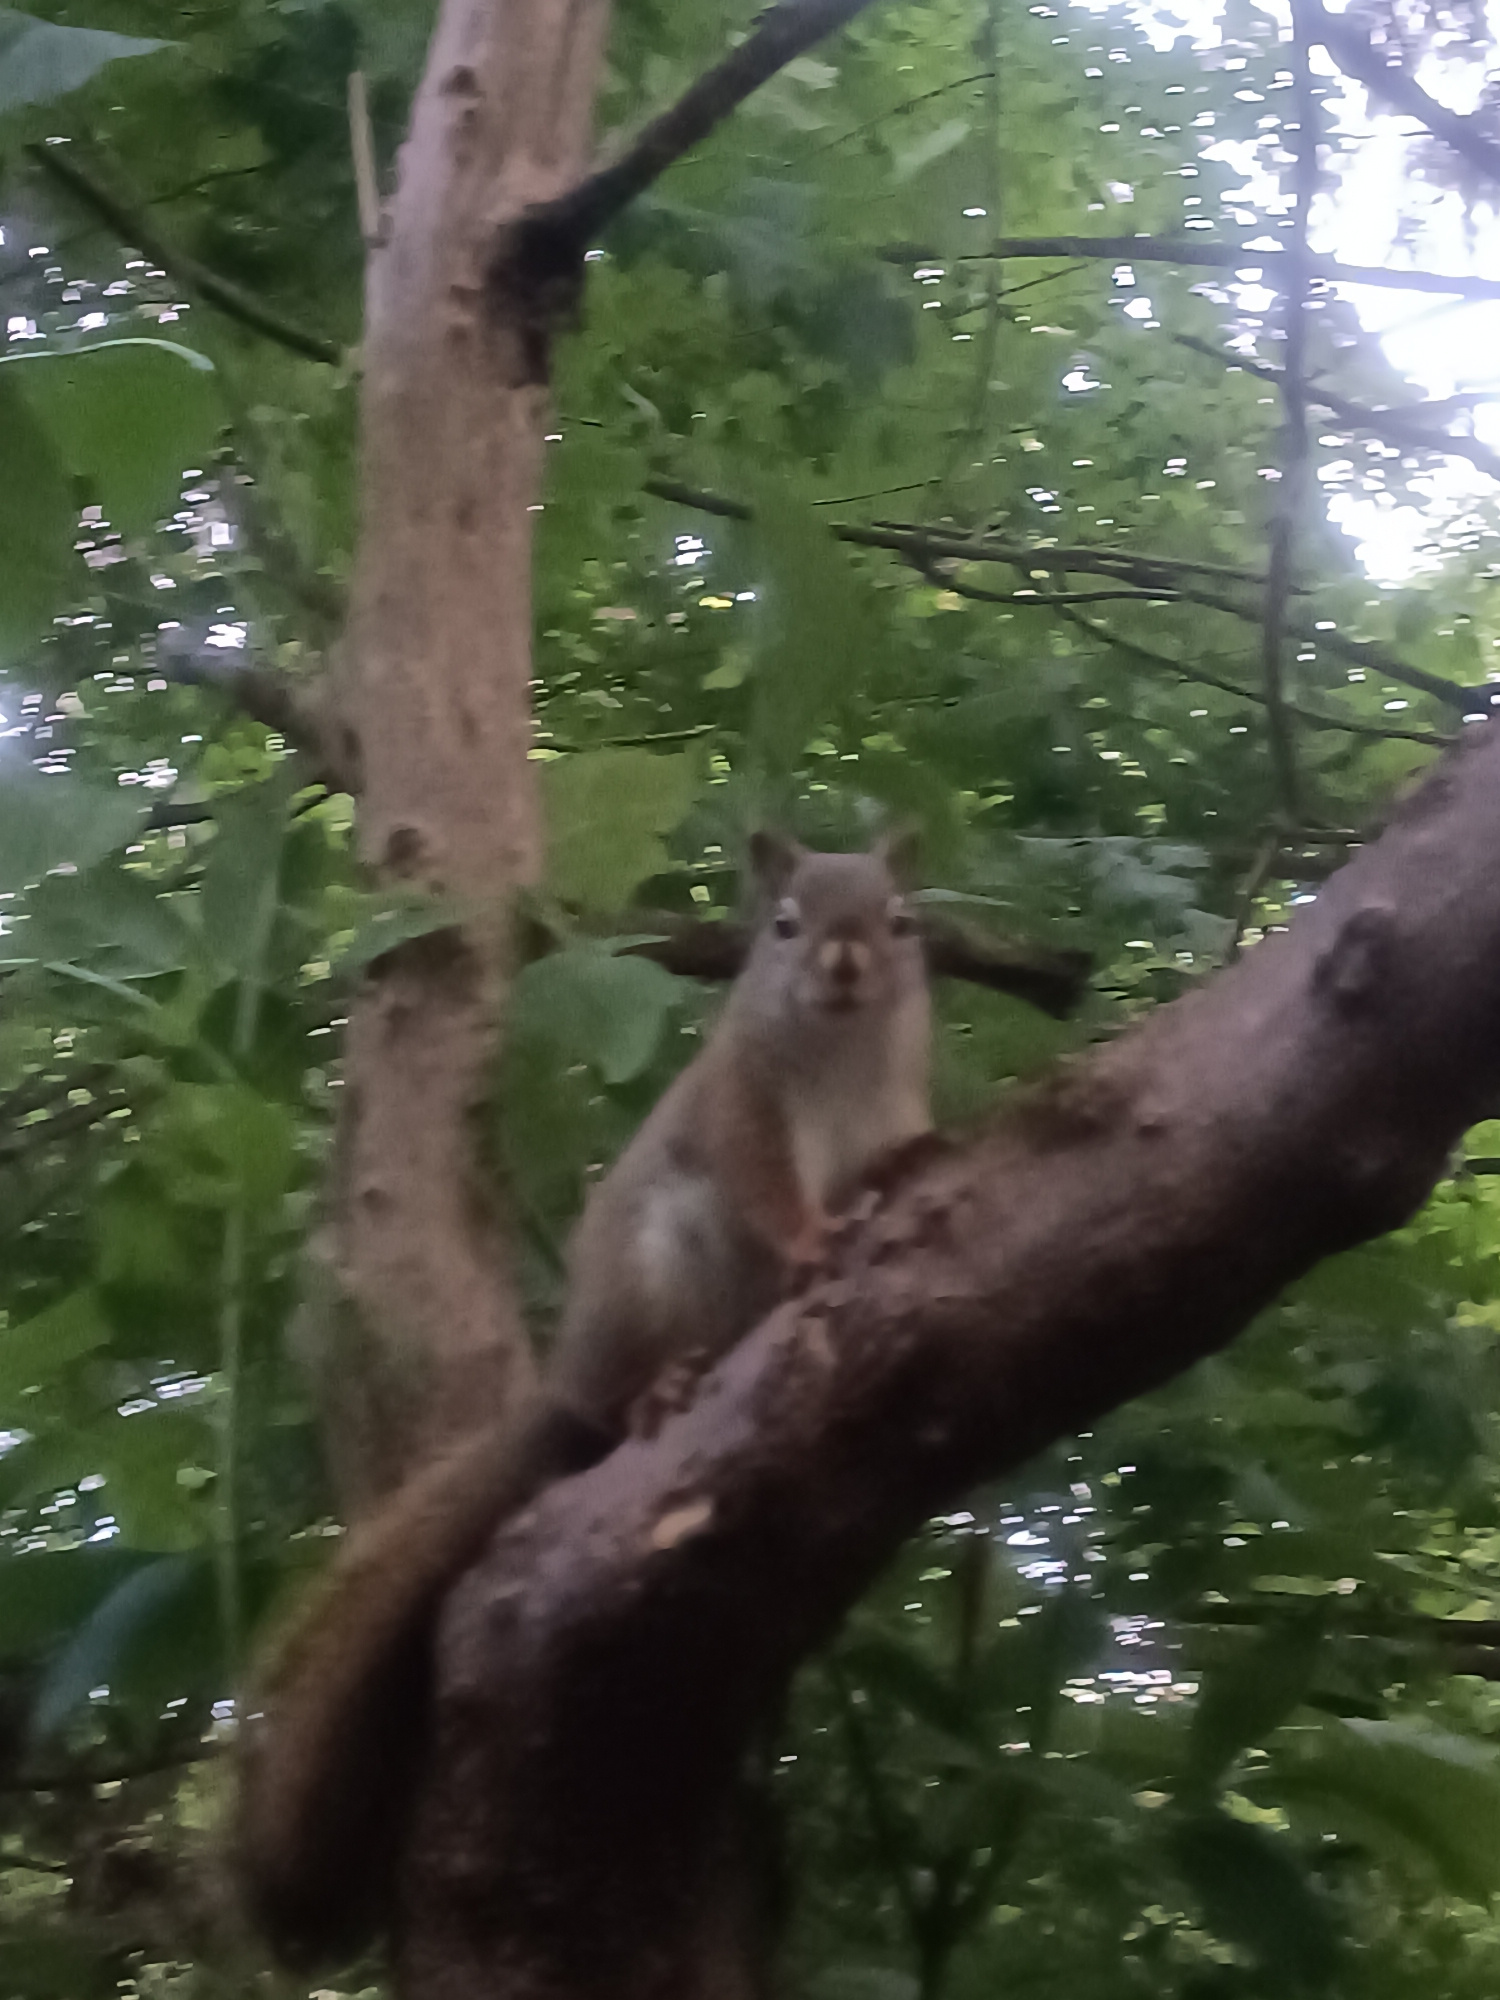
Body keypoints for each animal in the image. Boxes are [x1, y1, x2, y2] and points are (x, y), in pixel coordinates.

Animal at [235, 830, 933, 1967]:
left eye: (901, 919)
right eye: (784, 921)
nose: (843, 962)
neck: (838, 1053)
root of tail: (563, 1384)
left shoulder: (890, 1101)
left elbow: (887, 1154)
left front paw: (912, 1162)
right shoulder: (735, 1110)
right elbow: (766, 1189)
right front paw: (809, 1242)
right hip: (654, 1273)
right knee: (618, 1406)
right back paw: (664, 1388)